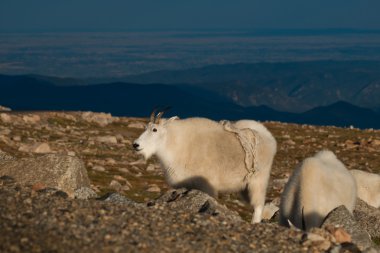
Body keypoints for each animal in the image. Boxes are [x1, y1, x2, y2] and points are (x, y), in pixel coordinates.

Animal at [133, 109, 276, 222]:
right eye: (145, 128)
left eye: (154, 129)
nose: (135, 145)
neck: (177, 143)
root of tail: (270, 138)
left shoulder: (206, 185)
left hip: (258, 180)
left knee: (258, 206)